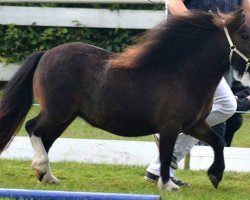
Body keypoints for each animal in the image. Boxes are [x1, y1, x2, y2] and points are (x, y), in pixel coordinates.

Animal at [0, 10, 250, 191]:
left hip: (66, 117)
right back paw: (42, 168)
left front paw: (215, 175)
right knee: (32, 127)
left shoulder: (194, 124)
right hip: (56, 112)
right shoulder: (171, 125)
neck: (184, 74)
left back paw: (47, 176)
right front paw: (167, 185)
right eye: (245, 35)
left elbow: (217, 141)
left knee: (46, 138)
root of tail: (45, 54)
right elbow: (166, 152)